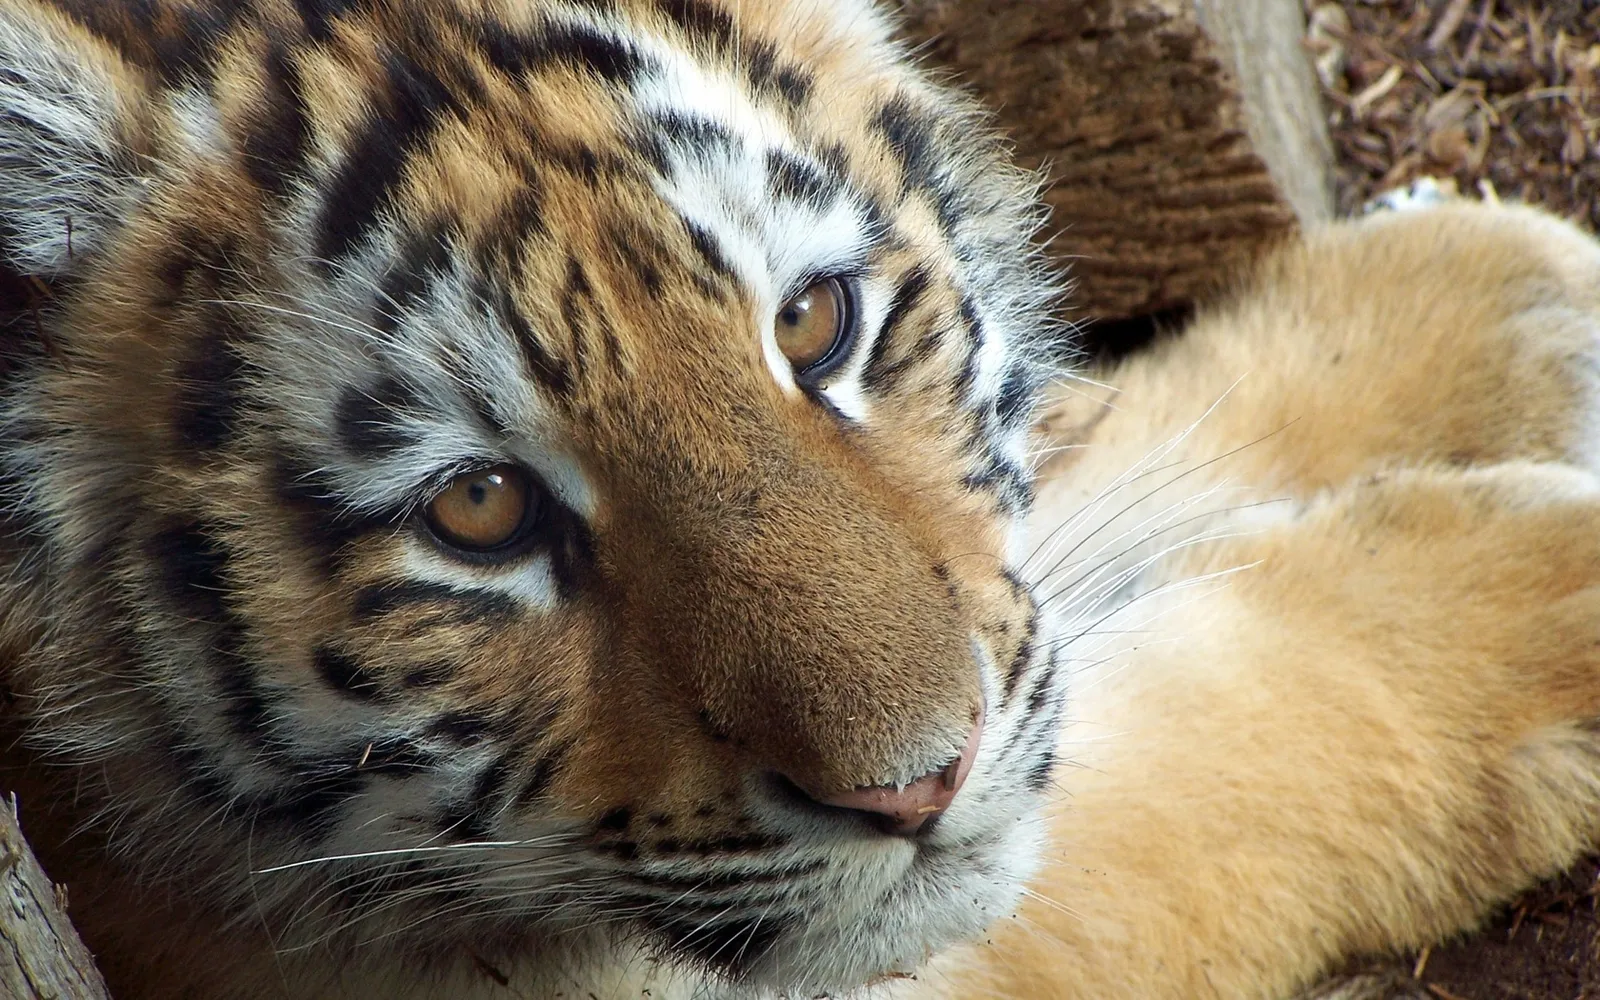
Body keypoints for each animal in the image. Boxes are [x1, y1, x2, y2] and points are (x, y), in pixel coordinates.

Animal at [2, 0, 1600, 999]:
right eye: (479, 510)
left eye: (816, 322)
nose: (919, 786)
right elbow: (1202, 767)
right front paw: (1540, 607)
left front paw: (1487, 306)